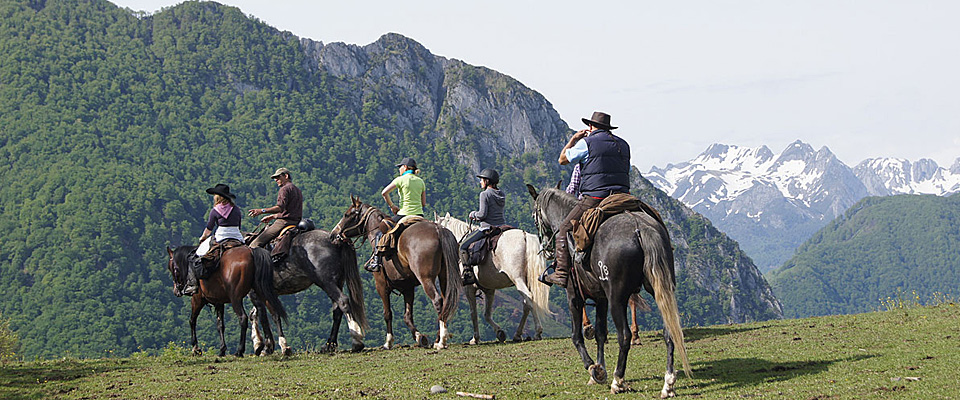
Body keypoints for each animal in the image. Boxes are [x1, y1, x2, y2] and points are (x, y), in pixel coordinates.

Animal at [332, 197, 464, 350]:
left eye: (347, 215)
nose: (334, 234)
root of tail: (438, 230)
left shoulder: (381, 285)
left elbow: (387, 314)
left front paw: (388, 342)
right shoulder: (408, 288)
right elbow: (407, 316)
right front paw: (420, 337)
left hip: (426, 278)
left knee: (437, 300)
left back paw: (442, 341)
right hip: (444, 276)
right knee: (445, 302)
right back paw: (438, 339)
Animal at [436, 212, 548, 344]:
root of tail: (525, 236)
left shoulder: (469, 288)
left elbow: (473, 313)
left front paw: (475, 338)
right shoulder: (489, 289)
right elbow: (487, 314)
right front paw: (499, 332)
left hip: (518, 279)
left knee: (529, 298)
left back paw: (537, 332)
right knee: (527, 304)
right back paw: (517, 334)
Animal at [524, 186, 688, 398]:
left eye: (534, 216)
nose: (547, 250)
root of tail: (640, 228)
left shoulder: (574, 296)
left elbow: (576, 336)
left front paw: (592, 368)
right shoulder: (601, 298)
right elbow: (601, 334)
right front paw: (600, 368)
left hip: (617, 298)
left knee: (624, 336)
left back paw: (618, 381)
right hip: (660, 290)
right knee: (670, 332)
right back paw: (668, 384)